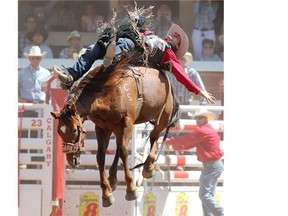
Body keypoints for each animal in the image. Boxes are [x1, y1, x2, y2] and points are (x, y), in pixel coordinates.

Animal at [50, 57, 174, 208]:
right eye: (59, 132)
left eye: (74, 130)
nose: (70, 159)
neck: (106, 92)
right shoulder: (102, 128)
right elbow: (101, 157)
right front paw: (106, 194)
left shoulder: (126, 123)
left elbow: (124, 152)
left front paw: (131, 189)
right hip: (117, 129)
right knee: (120, 148)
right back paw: (113, 178)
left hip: (163, 115)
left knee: (153, 136)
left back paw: (148, 167)